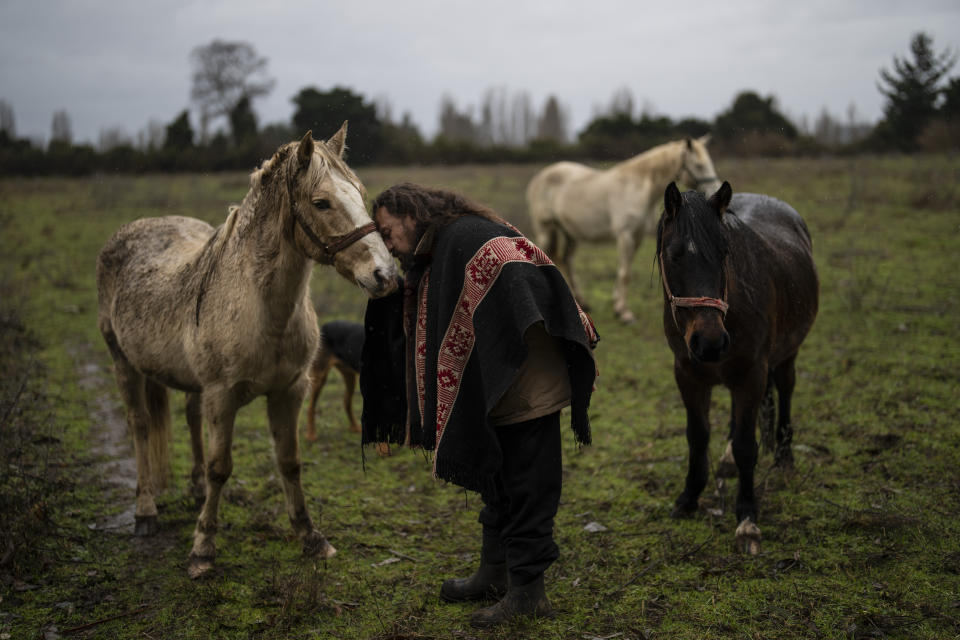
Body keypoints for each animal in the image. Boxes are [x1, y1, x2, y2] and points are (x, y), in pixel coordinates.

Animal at [97, 125, 398, 580]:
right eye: (321, 202)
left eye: (359, 194)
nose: (385, 274)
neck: (260, 308)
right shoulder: (222, 396)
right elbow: (222, 467)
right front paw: (203, 549)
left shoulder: (290, 391)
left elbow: (289, 461)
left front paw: (311, 537)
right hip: (123, 364)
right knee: (140, 426)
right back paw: (145, 511)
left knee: (189, 418)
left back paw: (195, 489)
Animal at [524, 137, 720, 322]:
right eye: (699, 165)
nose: (714, 191)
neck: (639, 187)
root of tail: (540, 176)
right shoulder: (625, 235)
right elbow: (625, 274)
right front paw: (625, 314)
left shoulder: (637, 236)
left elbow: (624, 271)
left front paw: (617, 308)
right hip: (545, 229)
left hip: (569, 233)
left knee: (566, 261)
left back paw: (581, 302)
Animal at [656, 181, 820, 556]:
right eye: (673, 255)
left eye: (724, 253)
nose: (710, 342)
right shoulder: (687, 375)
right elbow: (697, 436)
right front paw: (689, 497)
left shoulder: (751, 374)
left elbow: (748, 445)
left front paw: (747, 517)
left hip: (786, 356)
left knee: (785, 392)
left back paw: (784, 459)